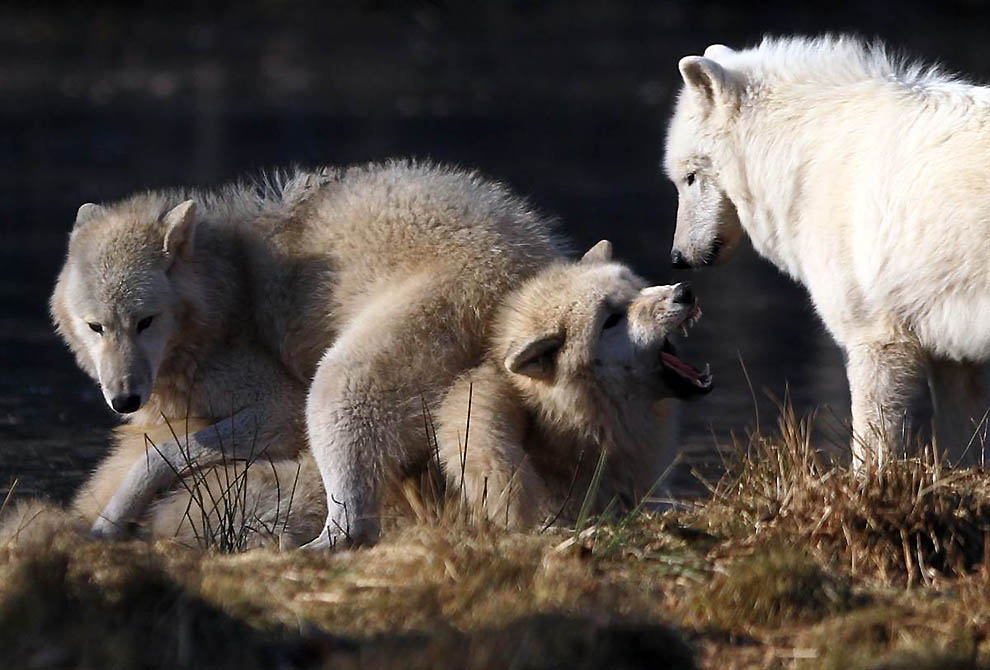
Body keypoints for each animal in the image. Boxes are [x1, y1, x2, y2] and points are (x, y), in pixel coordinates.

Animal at [5, 163, 712, 552]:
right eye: (97, 326)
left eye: (145, 321)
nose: (123, 398)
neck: (221, 291)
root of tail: (516, 282)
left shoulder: (276, 407)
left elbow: (165, 454)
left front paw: (110, 522)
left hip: (340, 382)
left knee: (351, 525)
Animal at [664, 35, 990, 468]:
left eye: (689, 177)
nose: (677, 258)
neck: (806, 159)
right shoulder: (954, 357)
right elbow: (964, 447)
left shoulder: (878, 341)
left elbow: (869, 456)